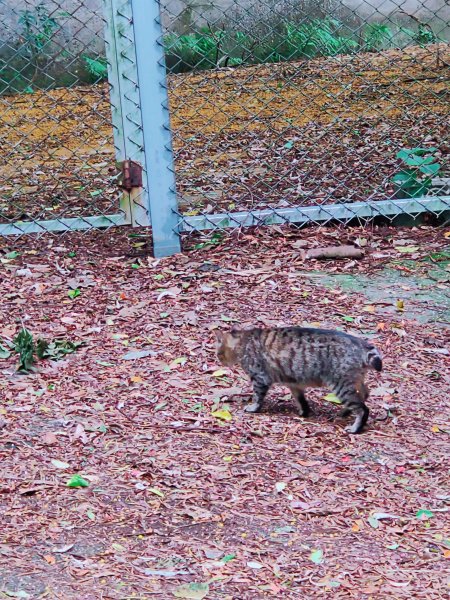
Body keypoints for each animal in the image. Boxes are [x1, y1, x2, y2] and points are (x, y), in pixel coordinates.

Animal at [216, 326, 382, 434]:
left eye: (218, 353)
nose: (219, 360)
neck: (244, 340)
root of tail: (362, 345)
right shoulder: (294, 383)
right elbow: (301, 400)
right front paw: (304, 412)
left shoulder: (260, 377)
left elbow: (257, 397)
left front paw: (253, 407)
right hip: (354, 381)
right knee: (365, 394)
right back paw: (345, 412)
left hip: (341, 384)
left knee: (362, 408)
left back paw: (355, 428)